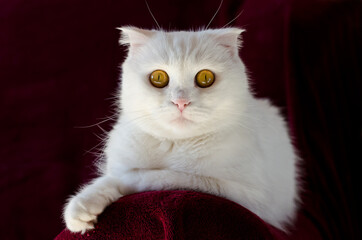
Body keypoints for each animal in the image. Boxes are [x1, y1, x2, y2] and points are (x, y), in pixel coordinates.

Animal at [63, 26, 300, 232]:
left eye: (205, 78)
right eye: (158, 78)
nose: (181, 102)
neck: (175, 145)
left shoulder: (252, 198)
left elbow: (170, 177)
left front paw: (133, 178)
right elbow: (106, 181)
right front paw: (82, 207)